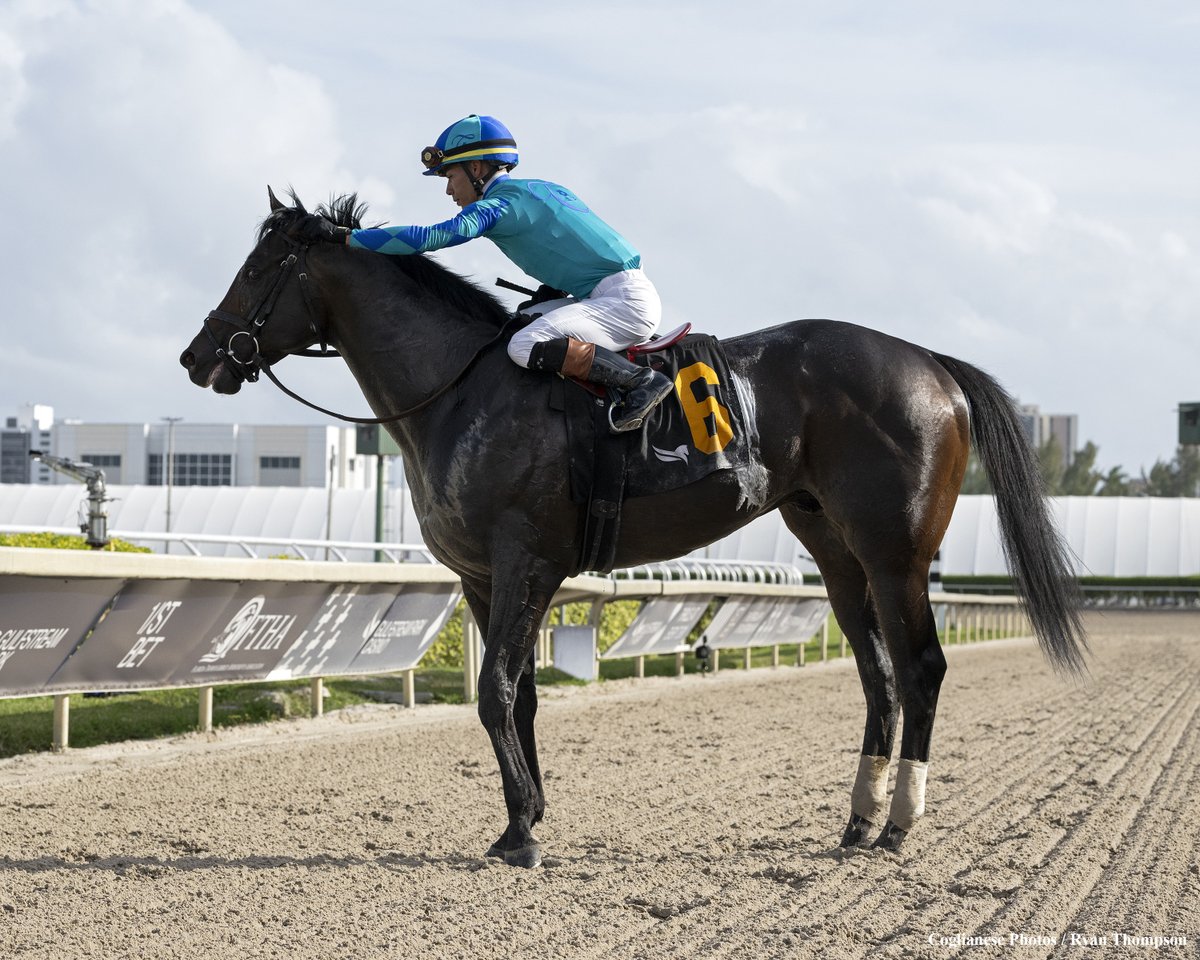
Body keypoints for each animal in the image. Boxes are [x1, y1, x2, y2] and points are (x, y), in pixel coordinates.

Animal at [180, 189, 1086, 868]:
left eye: (257, 268)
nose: (197, 358)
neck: (461, 393)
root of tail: (931, 364)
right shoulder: (481, 577)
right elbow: (521, 695)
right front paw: (523, 819)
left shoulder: (526, 561)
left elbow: (494, 692)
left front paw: (521, 835)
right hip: (832, 548)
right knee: (880, 676)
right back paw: (858, 822)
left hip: (895, 550)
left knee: (922, 666)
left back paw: (898, 824)